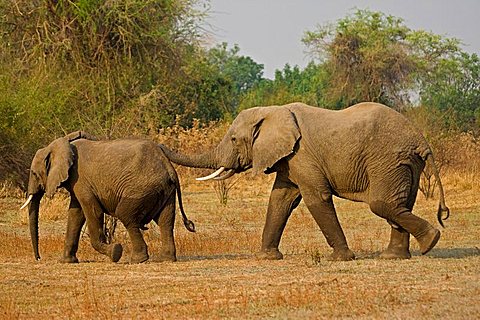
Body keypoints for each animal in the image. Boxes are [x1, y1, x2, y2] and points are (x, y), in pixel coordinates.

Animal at [18, 131, 195, 264]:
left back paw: (137, 260)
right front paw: (67, 261)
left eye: (34, 173)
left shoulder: (81, 180)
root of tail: (168, 165)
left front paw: (115, 253)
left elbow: (92, 212)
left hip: (141, 189)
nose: (38, 258)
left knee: (127, 217)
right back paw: (165, 259)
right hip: (165, 190)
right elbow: (75, 214)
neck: (61, 144)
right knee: (166, 221)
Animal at [161, 102, 450, 260]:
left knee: (382, 204)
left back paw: (431, 241)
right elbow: (280, 199)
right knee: (400, 204)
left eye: (233, 139)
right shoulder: (290, 159)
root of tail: (421, 140)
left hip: (389, 160)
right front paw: (267, 258)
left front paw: (341, 259)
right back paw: (397, 255)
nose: (160, 146)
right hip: (405, 164)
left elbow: (315, 198)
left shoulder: (302, 155)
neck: (274, 111)